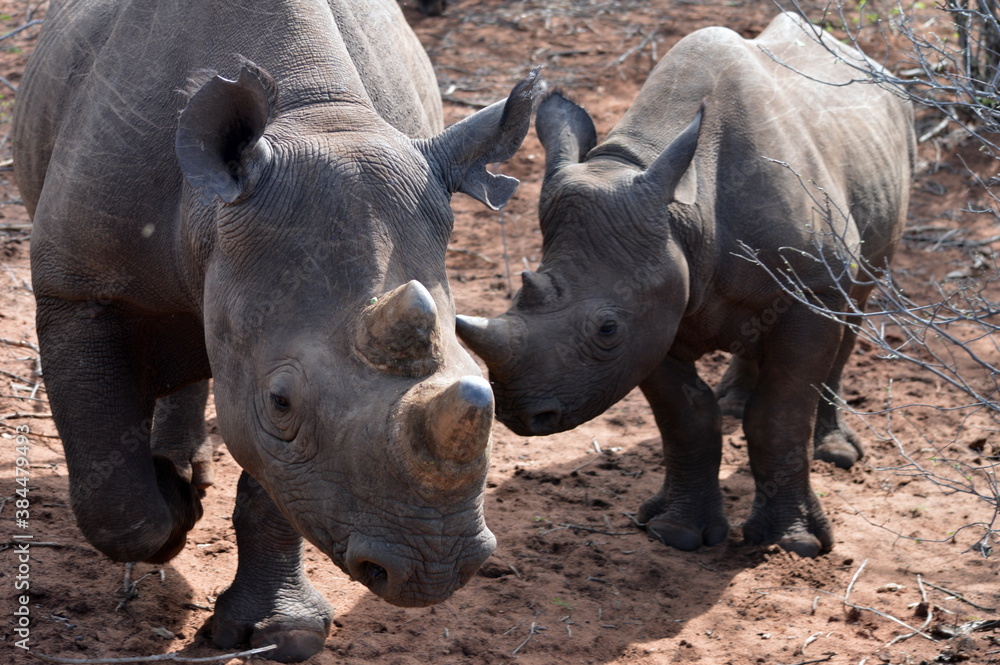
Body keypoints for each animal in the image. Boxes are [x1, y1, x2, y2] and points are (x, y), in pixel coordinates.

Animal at [13, 0, 539, 660]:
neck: (316, 114)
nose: (434, 569)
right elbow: (112, 491)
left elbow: (276, 485)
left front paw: (281, 633)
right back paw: (179, 478)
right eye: (280, 401)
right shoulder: (78, 288)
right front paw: (172, 513)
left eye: (482, 380)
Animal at [457, 13, 914, 559]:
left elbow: (781, 413)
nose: (523, 414)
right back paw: (733, 402)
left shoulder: (812, 289)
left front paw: (796, 544)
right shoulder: (657, 305)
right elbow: (686, 418)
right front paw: (674, 532)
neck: (686, 215)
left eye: (607, 329)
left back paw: (837, 452)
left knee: (856, 307)